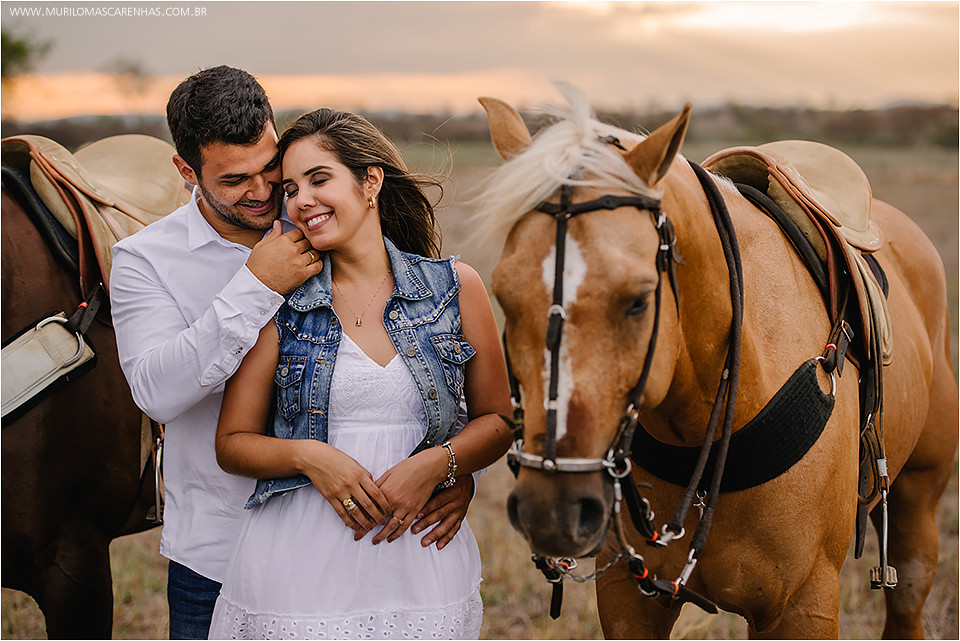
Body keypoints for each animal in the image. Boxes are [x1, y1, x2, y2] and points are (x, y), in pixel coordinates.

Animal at [477, 89, 958, 639]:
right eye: (504, 296)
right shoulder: (628, 596)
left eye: (638, 301)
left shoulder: (805, 604)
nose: (551, 510)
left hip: (919, 503)